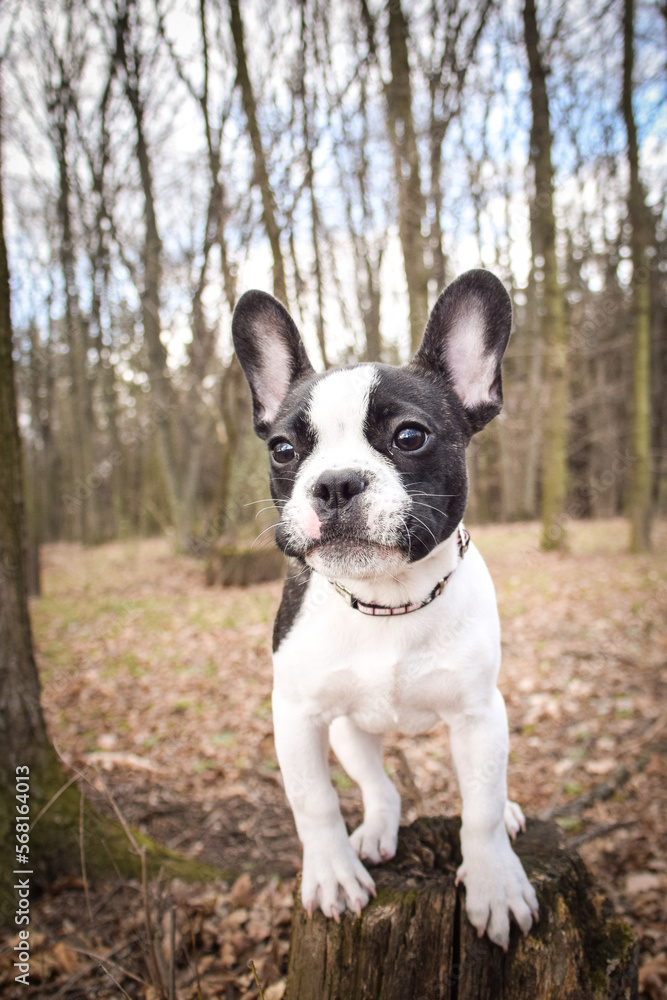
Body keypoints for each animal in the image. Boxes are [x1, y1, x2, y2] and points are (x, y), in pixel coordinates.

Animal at [232, 270, 540, 948]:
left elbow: (479, 808)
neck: (388, 599)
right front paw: (331, 875)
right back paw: (374, 830)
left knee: (484, 790)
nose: (336, 482)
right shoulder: (297, 715)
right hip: (349, 731)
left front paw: (495, 882)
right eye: (284, 449)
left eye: (409, 437)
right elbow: (313, 800)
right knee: (378, 785)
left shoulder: (480, 713)